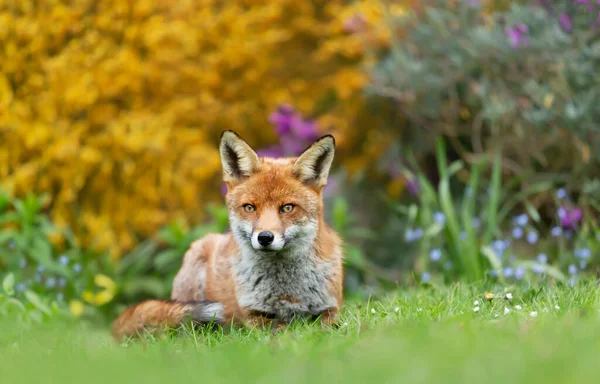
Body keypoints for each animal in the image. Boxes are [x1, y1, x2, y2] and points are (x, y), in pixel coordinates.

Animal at [112, 130, 342, 340]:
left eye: (287, 208)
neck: (286, 290)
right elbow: (281, 329)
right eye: (249, 207)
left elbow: (326, 327)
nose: (265, 237)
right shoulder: (252, 316)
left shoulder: (332, 308)